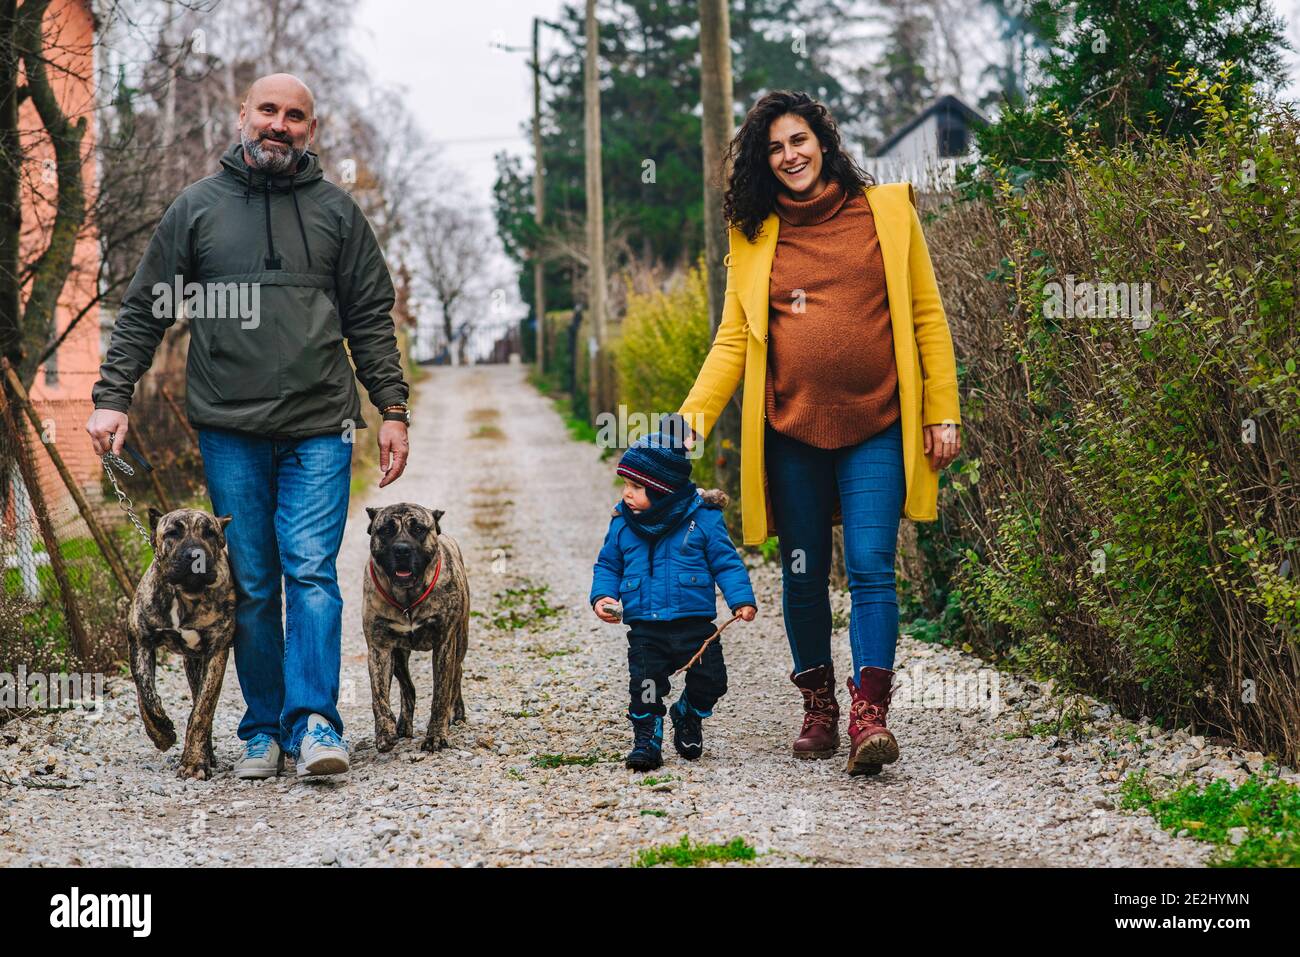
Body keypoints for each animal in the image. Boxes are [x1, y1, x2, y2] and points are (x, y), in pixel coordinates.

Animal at [130, 504, 237, 780]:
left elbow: (201, 712)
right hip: (191, 664)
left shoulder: (216, 652)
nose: (194, 555)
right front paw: (161, 733)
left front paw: (193, 762)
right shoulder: (140, 643)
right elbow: (145, 694)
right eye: (172, 533)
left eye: (210, 533)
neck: (184, 594)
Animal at [364, 504, 470, 748]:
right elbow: (379, 696)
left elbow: (441, 693)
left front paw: (436, 735)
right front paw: (384, 731)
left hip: (461, 640)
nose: (402, 550)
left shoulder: (444, 644)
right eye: (386, 530)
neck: (407, 598)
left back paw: (457, 713)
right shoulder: (379, 649)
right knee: (408, 689)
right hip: (399, 656)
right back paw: (403, 725)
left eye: (419, 529)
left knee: (457, 674)